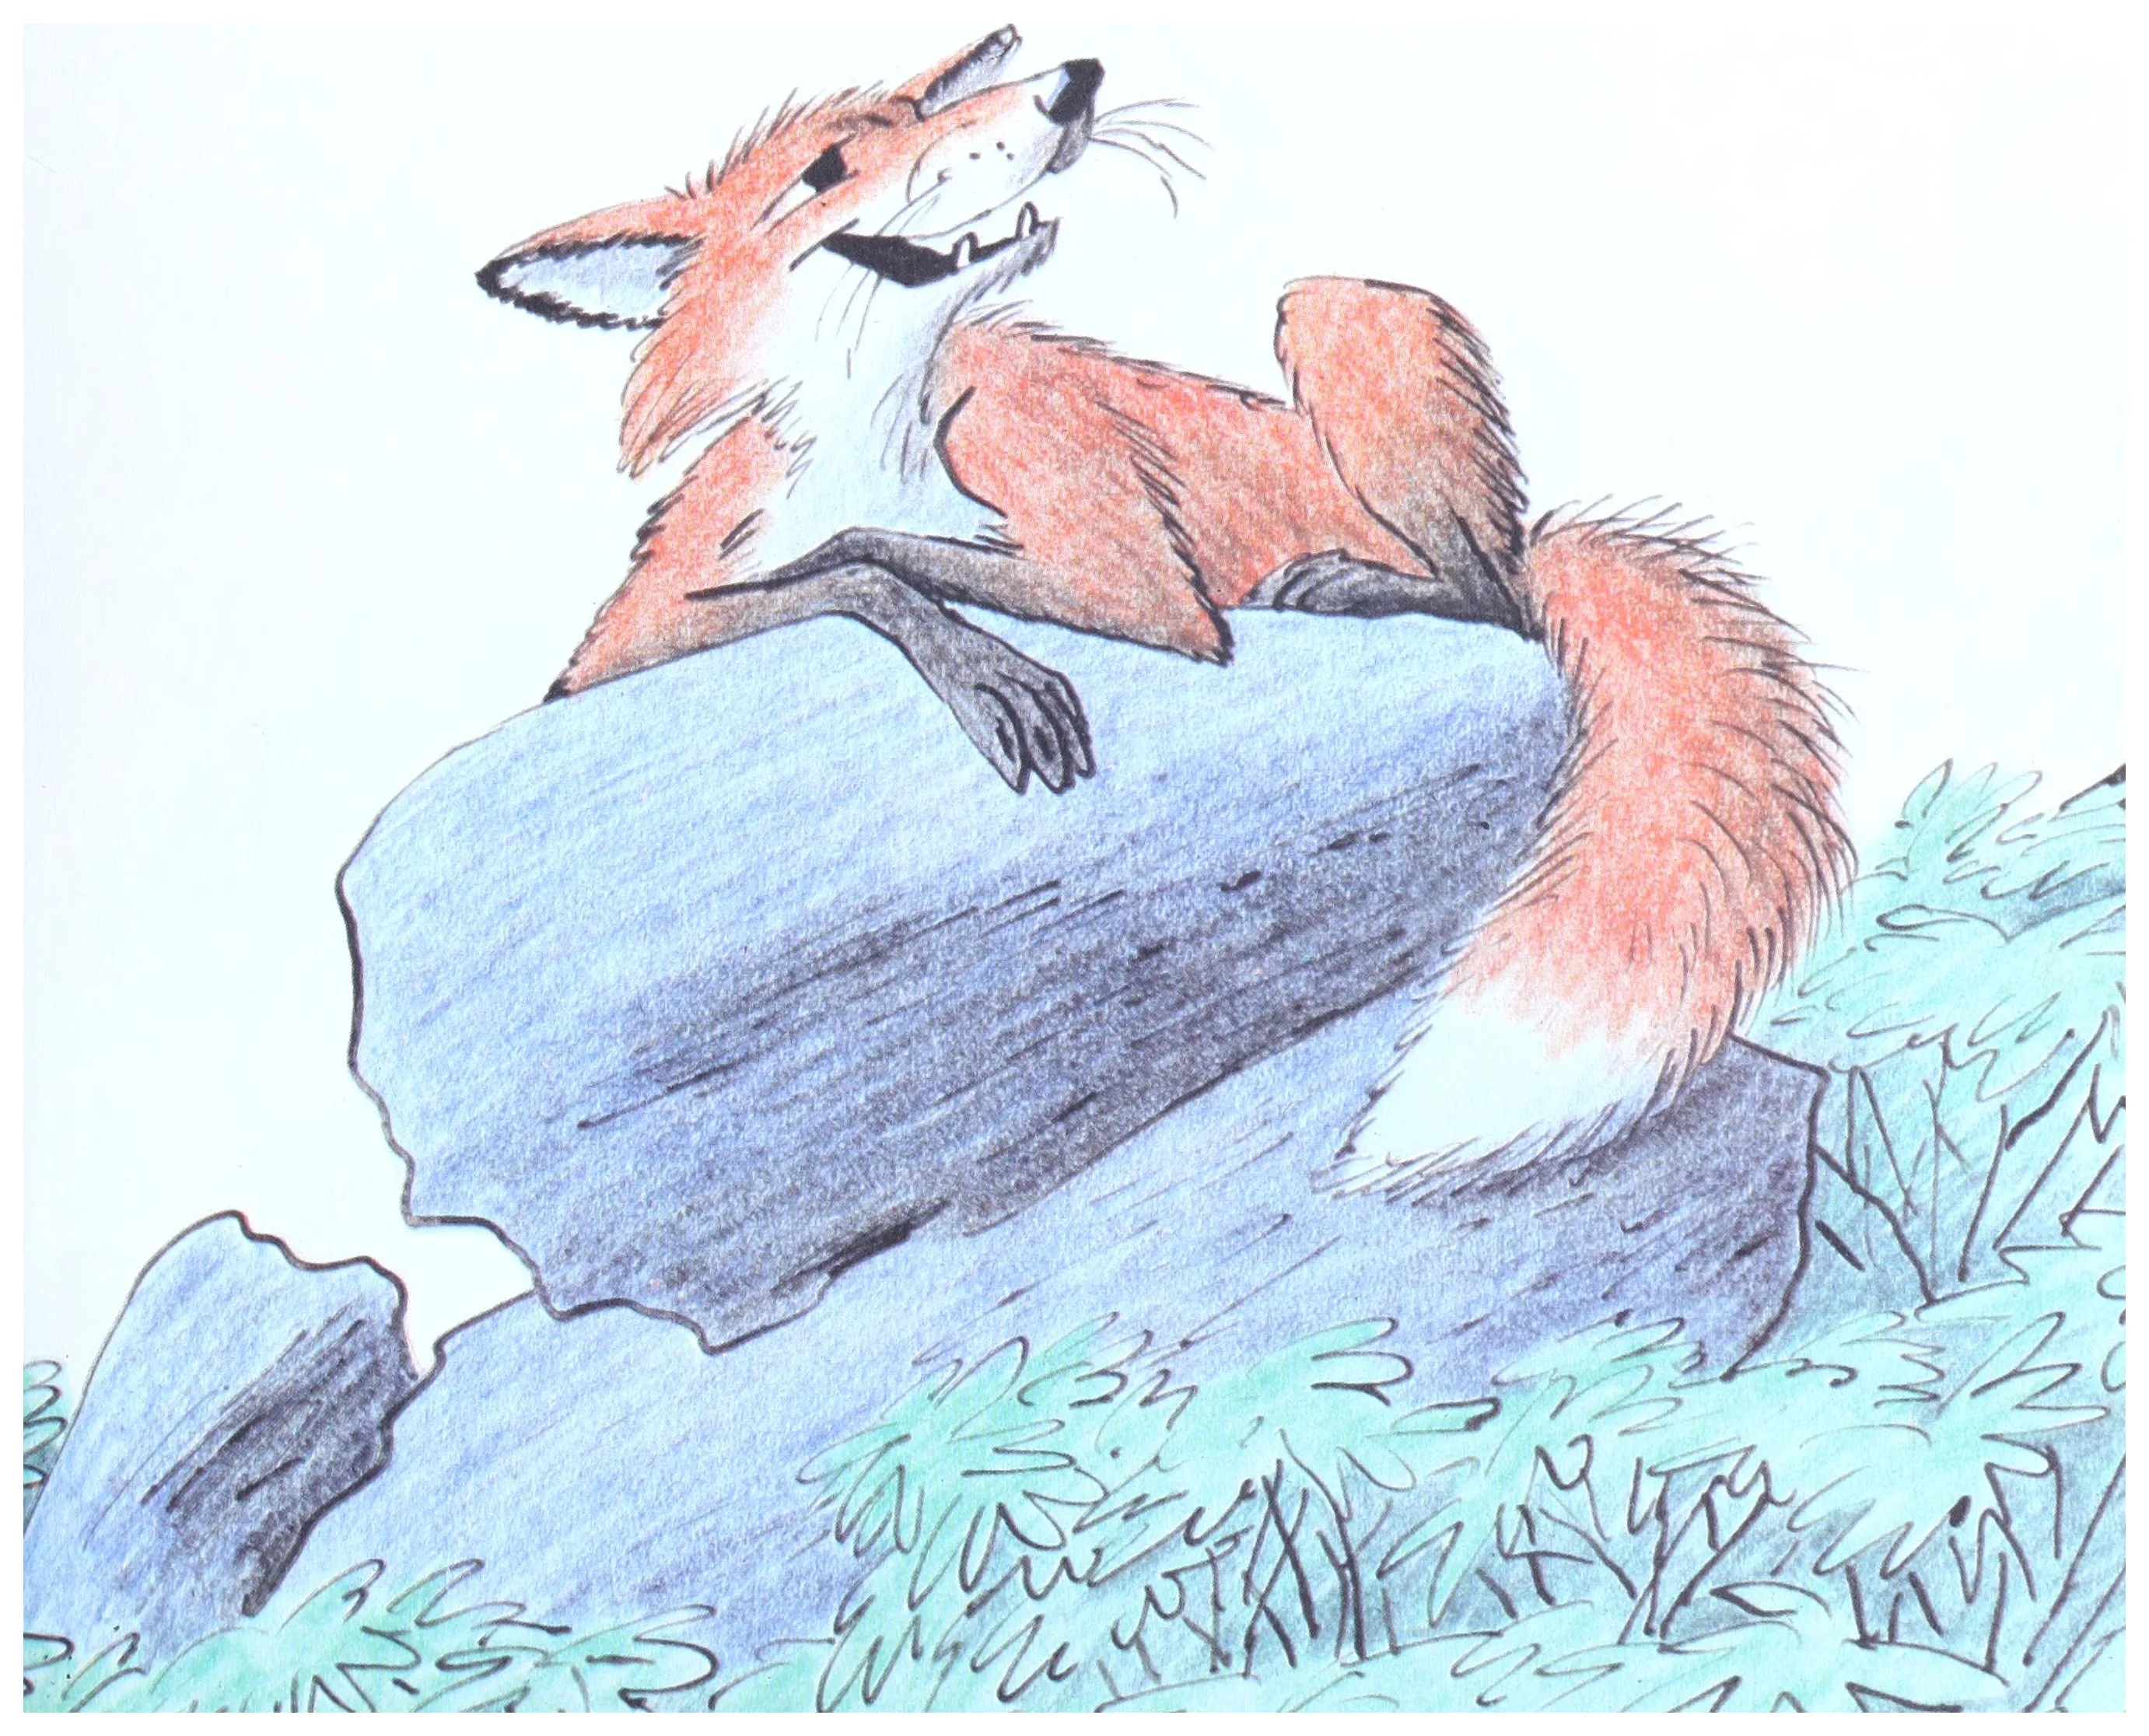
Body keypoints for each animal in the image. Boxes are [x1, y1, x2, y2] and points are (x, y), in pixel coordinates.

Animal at [475, 27, 1851, 1190]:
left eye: (922, 113)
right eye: (826, 169)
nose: (1070, 80)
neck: (877, 446)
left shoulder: (1145, 588)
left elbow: (881, 557)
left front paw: (980, 653)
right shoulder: (621, 643)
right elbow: (815, 579)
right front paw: (969, 657)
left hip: (1340, 312)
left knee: (1500, 594)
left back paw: (1355, 580)